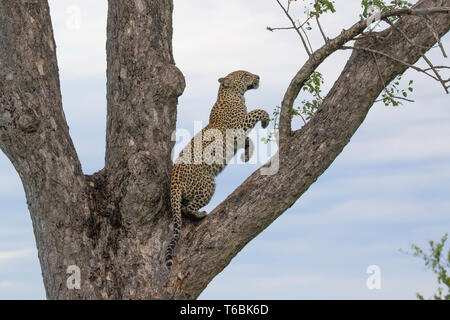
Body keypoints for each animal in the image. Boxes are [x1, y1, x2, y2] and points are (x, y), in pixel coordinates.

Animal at [166, 70, 268, 268]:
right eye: (245, 75)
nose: (258, 77)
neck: (234, 96)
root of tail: (174, 180)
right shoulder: (236, 128)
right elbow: (256, 112)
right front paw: (266, 119)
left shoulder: (239, 135)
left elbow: (248, 140)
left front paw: (247, 154)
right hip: (207, 185)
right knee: (187, 209)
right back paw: (200, 214)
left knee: (182, 207)